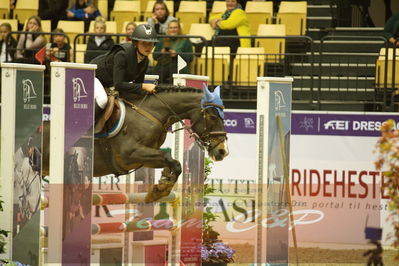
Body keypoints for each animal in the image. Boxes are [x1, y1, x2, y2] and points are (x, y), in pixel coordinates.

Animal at [42, 84, 230, 203]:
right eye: (213, 116)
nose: (223, 151)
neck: (152, 114)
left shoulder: (144, 158)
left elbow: (171, 162)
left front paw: (162, 184)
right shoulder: (130, 154)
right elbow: (172, 160)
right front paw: (158, 191)